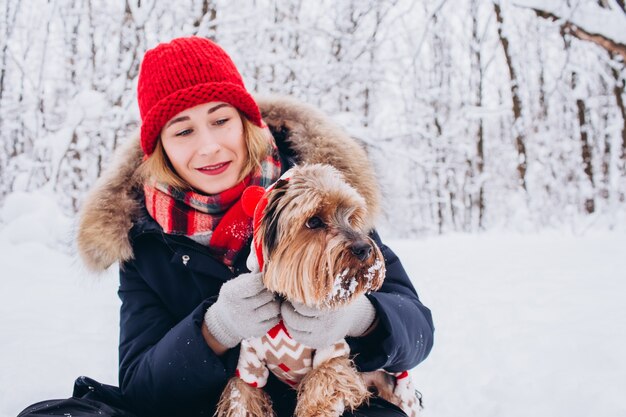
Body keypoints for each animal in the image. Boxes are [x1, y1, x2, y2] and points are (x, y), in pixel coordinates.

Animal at [214, 163, 420, 417]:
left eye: (350, 217)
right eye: (313, 221)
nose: (364, 248)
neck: (285, 300)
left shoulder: (330, 354)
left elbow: (323, 388)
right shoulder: (249, 363)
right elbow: (242, 396)